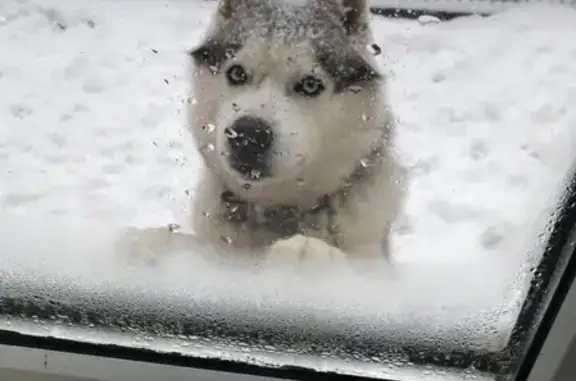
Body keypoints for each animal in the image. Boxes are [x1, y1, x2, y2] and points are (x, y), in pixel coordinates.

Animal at [118, 0, 404, 272]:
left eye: (310, 85)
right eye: (237, 73)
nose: (247, 136)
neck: (278, 209)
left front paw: (305, 253)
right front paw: (145, 244)